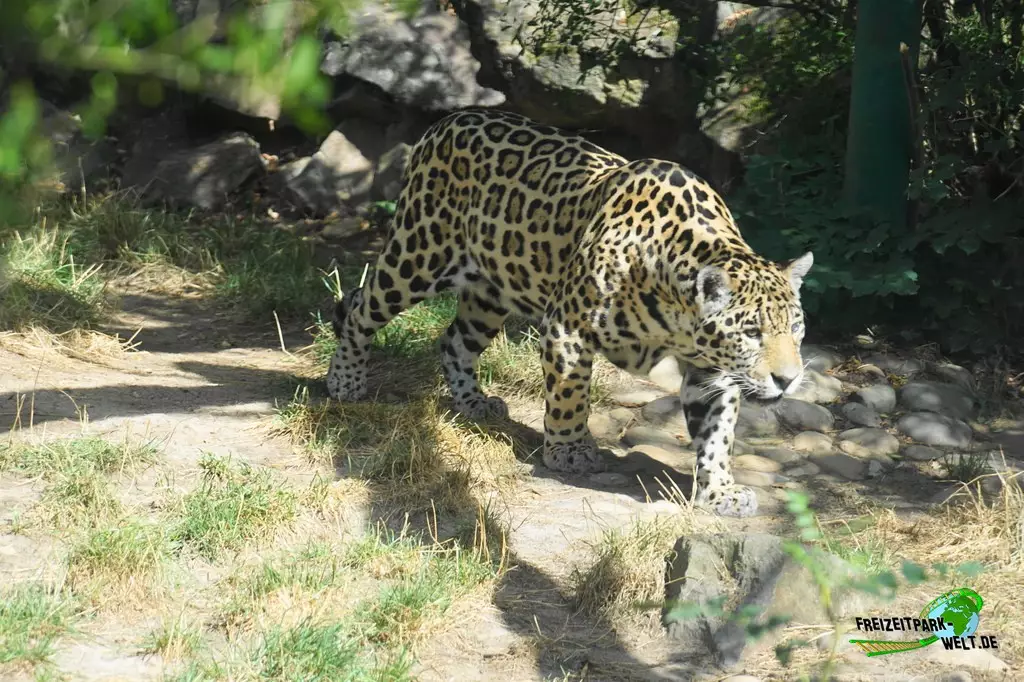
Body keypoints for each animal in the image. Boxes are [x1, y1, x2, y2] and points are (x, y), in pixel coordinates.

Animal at [326, 108, 813, 518]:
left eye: (795, 329)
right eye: (751, 333)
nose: (787, 379)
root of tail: (449, 119)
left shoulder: (712, 370)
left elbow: (717, 434)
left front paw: (720, 492)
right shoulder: (567, 327)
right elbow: (569, 395)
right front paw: (569, 451)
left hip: (491, 289)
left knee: (454, 340)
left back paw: (473, 402)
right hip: (418, 255)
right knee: (358, 306)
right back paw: (344, 382)